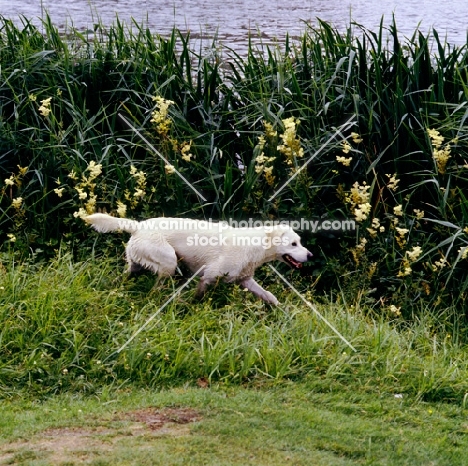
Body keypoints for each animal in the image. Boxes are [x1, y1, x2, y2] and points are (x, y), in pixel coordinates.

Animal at [85, 214, 310, 306]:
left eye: (299, 242)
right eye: (293, 244)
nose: (310, 255)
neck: (255, 245)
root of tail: (138, 226)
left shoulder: (245, 280)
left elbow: (269, 296)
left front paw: (282, 310)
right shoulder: (208, 276)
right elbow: (198, 297)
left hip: (135, 267)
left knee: (123, 279)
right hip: (169, 262)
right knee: (155, 289)